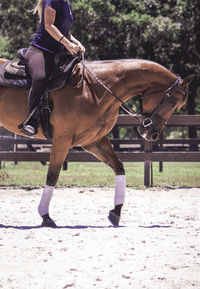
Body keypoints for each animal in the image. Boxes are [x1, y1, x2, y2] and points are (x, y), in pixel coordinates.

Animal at [0, 56, 194, 226]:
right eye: (172, 103)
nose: (152, 134)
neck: (95, 90)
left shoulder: (94, 141)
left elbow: (118, 167)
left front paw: (116, 212)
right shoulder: (62, 139)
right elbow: (52, 176)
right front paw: (45, 216)